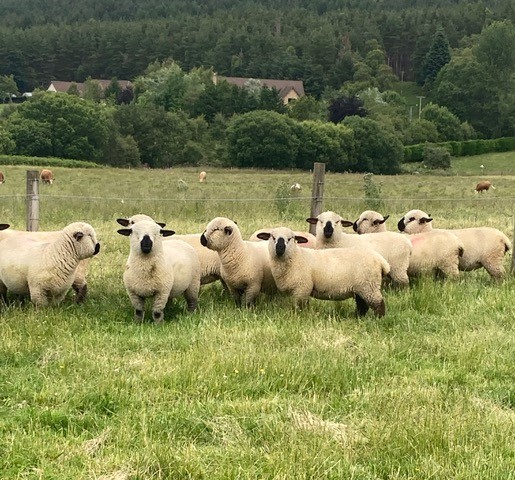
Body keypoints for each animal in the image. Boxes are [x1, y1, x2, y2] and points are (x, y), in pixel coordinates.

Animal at [258, 227, 392, 316]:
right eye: (272, 237)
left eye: (291, 238)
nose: (280, 247)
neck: (296, 257)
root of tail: (381, 260)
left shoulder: (302, 288)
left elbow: (300, 307)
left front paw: (300, 317)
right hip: (361, 287)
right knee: (362, 305)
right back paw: (358, 317)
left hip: (369, 285)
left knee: (378, 303)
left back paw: (378, 319)